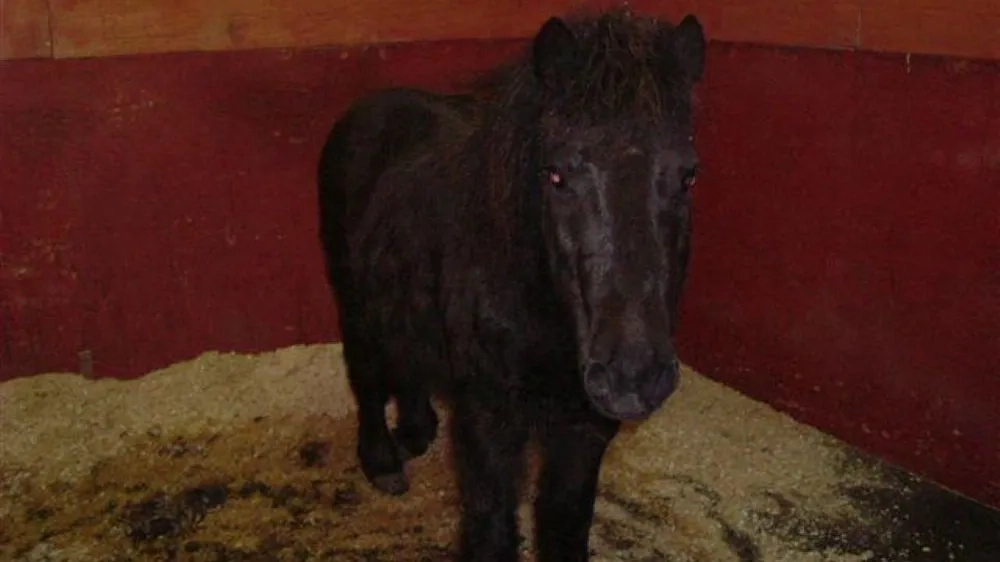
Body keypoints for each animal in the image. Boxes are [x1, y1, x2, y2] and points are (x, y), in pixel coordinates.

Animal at [316, 8, 706, 561]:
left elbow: (563, 526)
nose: (634, 377)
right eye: (557, 175)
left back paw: (416, 431)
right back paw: (384, 462)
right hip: (352, 301)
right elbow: (493, 531)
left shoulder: (583, 430)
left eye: (688, 176)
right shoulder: (489, 424)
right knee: (367, 375)